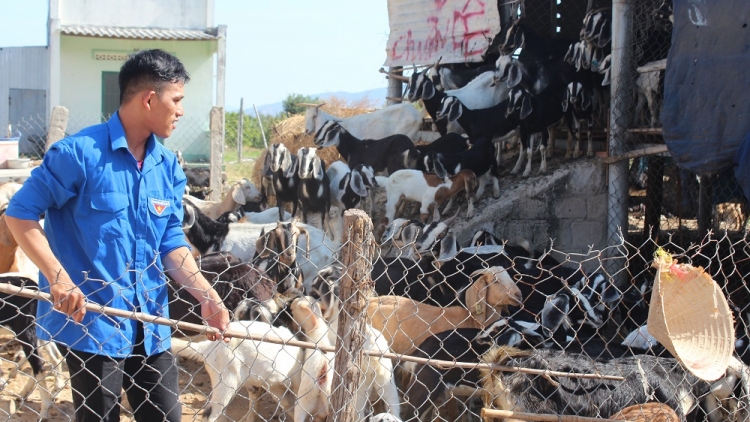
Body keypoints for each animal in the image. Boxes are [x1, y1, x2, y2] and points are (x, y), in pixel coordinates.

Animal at [172, 322, 304, 420]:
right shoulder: (296, 384)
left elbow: (286, 405)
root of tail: (208, 346)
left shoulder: (272, 386)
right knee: (210, 414)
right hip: (226, 382)